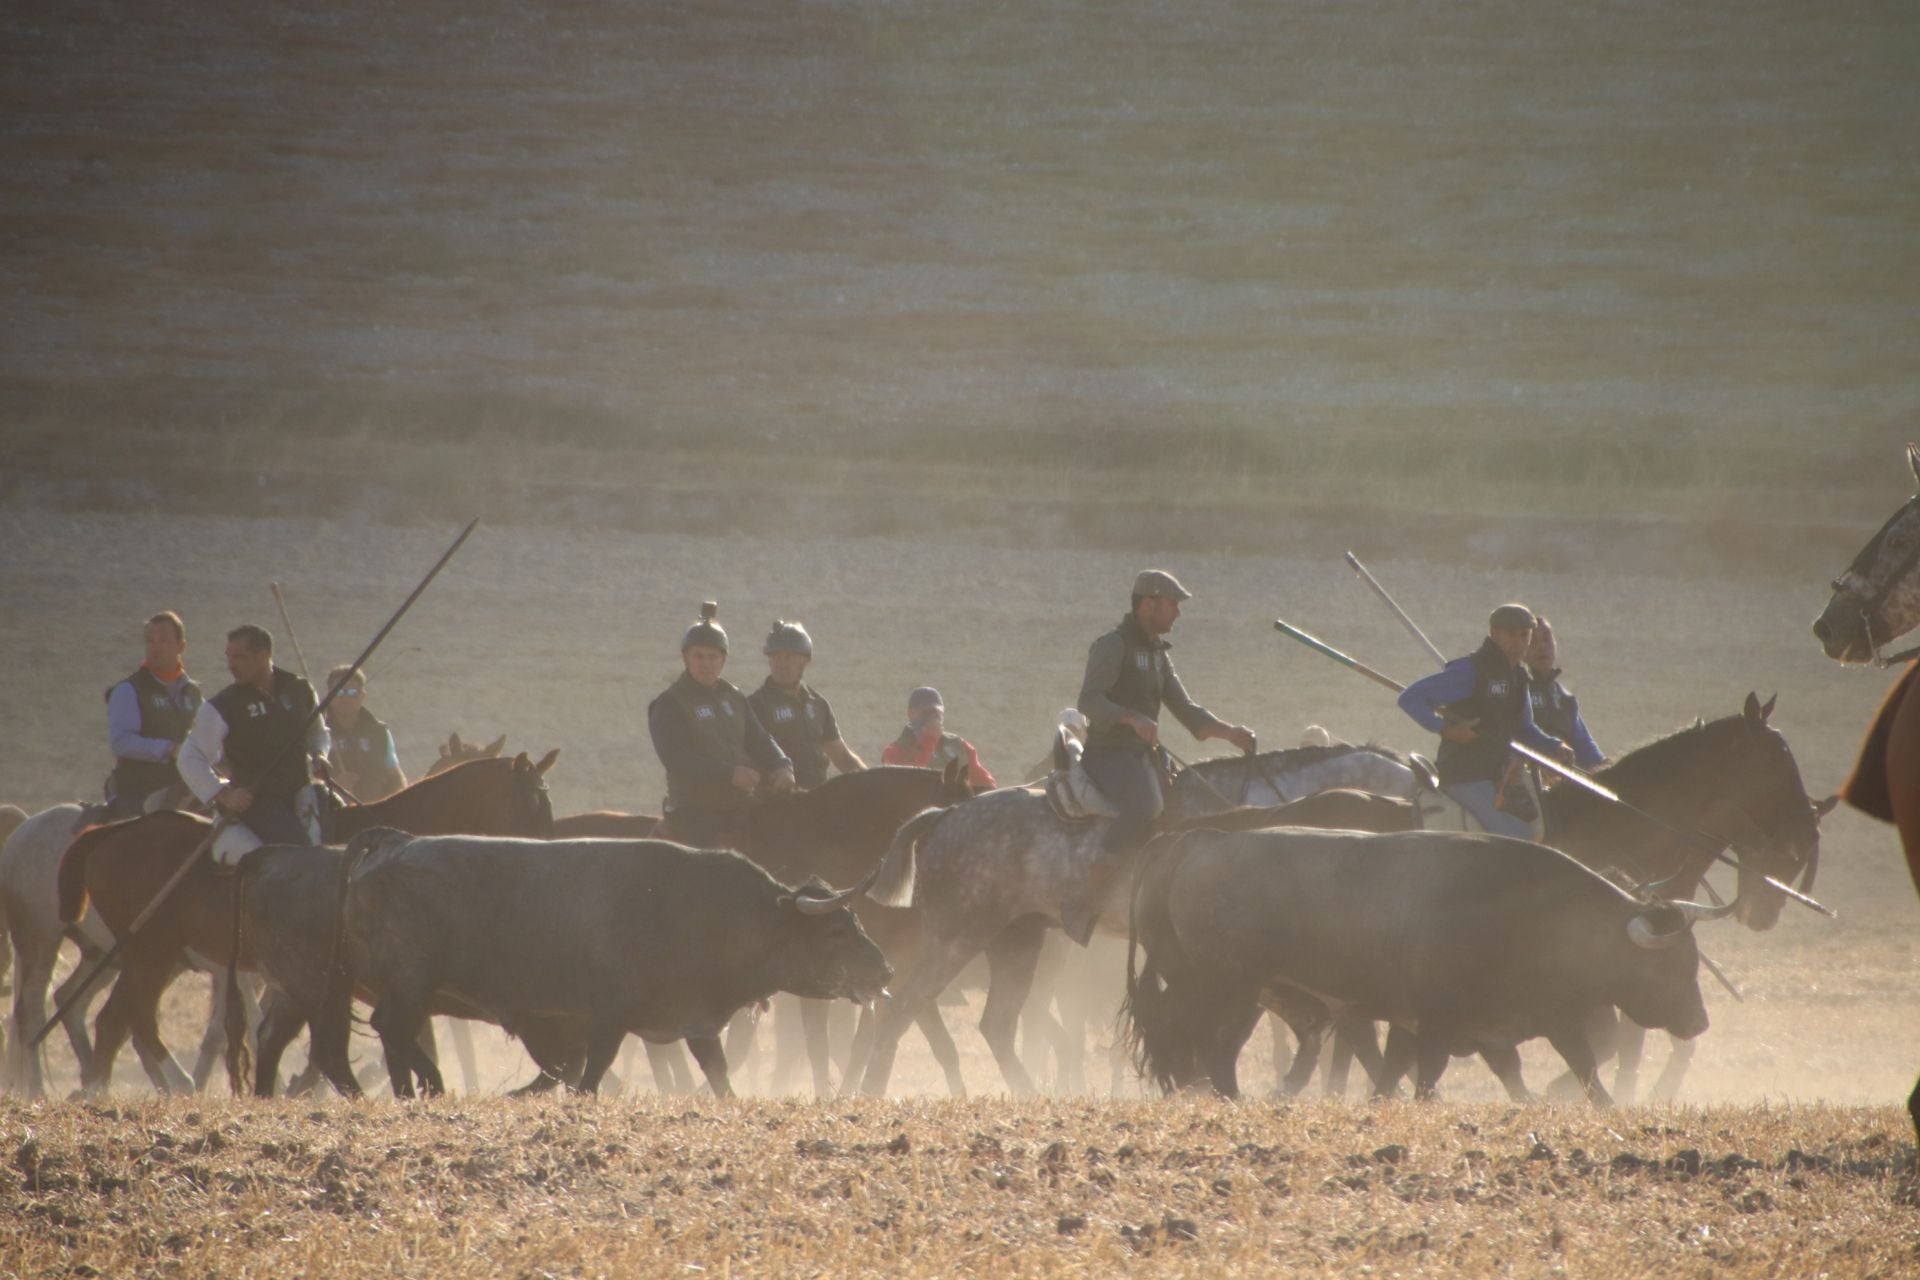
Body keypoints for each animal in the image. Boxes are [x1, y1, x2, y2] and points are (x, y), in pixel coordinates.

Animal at [52, 756, 560, 1097]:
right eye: (528, 807)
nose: (543, 863)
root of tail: (113, 832)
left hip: (154, 956)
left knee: (121, 1019)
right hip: (150, 952)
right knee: (122, 1019)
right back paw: (154, 1085)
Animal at [1121, 825, 1720, 1105]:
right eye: (1671, 966)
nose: (1699, 1023)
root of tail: (1198, 840)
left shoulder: (1526, 1021)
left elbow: (1573, 1073)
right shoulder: (1437, 1021)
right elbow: (1426, 1077)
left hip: (1246, 991)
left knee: (1187, 1037)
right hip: (1228, 986)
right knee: (1202, 1040)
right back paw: (1225, 1095)